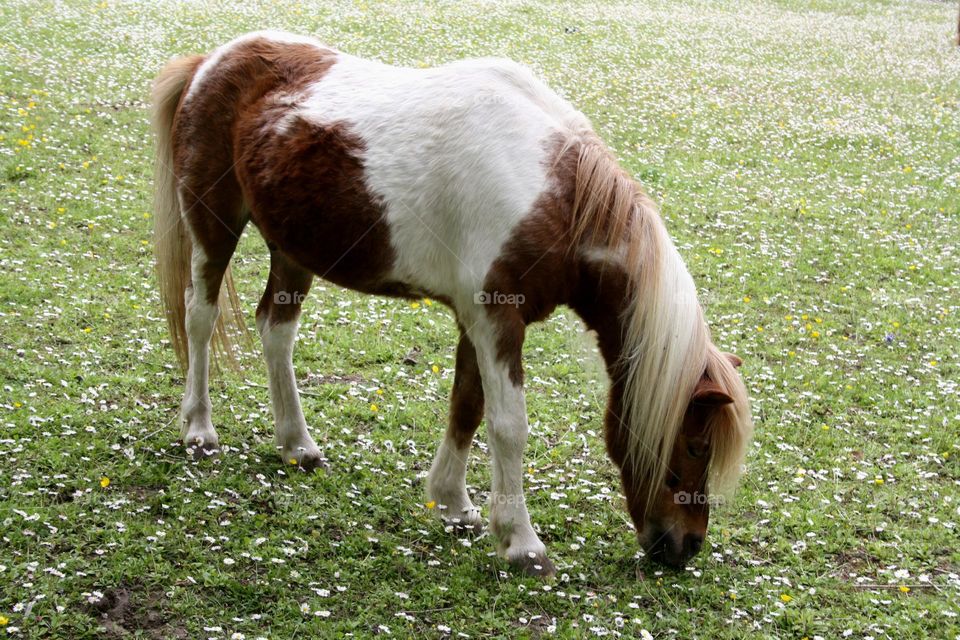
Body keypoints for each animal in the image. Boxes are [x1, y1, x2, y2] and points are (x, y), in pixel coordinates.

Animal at [151, 30, 753, 575]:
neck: (551, 194)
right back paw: (199, 431)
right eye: (697, 447)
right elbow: (508, 425)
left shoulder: (478, 320)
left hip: (293, 248)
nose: (687, 546)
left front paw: (454, 504)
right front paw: (521, 543)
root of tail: (210, 62)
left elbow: (467, 405)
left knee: (276, 332)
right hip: (214, 227)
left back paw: (297, 445)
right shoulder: (497, 318)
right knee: (200, 318)